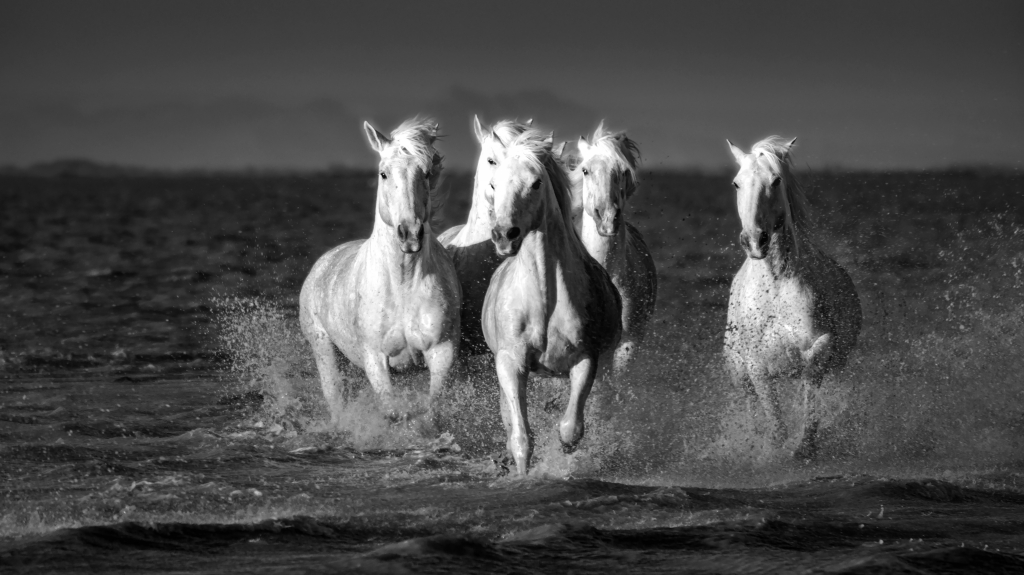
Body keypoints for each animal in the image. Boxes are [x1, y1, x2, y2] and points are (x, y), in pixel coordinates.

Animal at [299, 118, 461, 425]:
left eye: (426, 173)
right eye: (383, 174)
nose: (409, 234)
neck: (403, 284)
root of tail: (323, 262)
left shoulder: (441, 352)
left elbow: (431, 409)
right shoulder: (375, 358)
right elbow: (392, 411)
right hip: (324, 348)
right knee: (334, 394)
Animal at [481, 128, 622, 475]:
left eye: (536, 183)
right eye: (494, 184)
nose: (504, 235)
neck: (544, 298)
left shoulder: (586, 360)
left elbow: (570, 429)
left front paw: (564, 460)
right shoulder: (510, 362)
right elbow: (520, 437)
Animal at [724, 136, 862, 459]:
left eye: (776, 180)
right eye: (736, 183)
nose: (754, 240)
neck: (775, 286)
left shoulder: (819, 347)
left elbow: (810, 396)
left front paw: (805, 448)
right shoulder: (755, 365)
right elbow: (774, 421)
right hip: (738, 371)